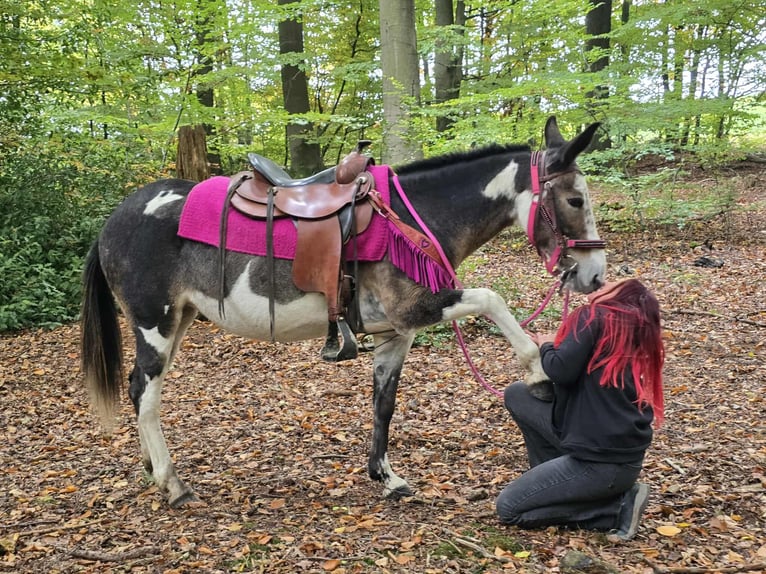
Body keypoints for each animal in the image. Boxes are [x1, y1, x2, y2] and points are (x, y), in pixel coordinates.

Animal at [81, 116, 607, 508]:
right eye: (574, 199)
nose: (595, 276)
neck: (411, 219)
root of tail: (114, 218)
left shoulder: (397, 332)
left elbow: (384, 404)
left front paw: (385, 476)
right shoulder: (417, 308)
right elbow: (493, 299)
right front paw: (538, 373)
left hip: (180, 320)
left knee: (138, 389)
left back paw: (152, 469)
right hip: (155, 323)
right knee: (146, 395)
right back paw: (172, 484)